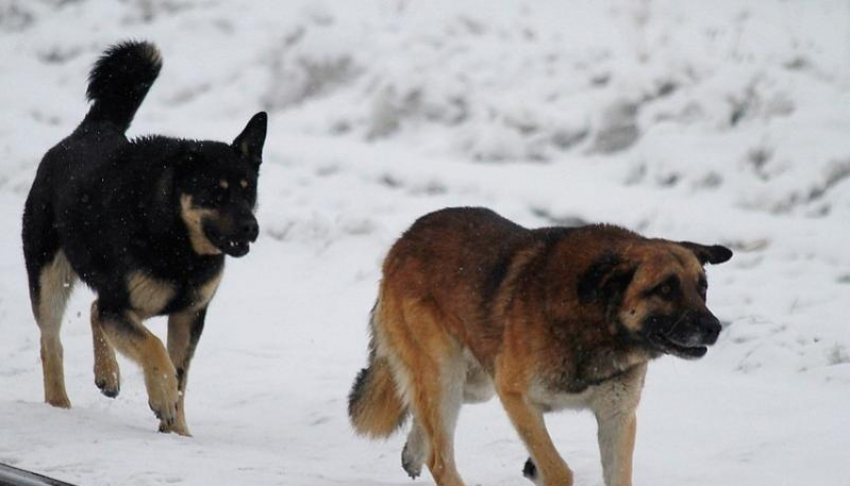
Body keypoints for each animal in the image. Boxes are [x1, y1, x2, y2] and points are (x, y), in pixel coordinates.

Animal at [23, 40, 266, 436]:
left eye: (249, 191)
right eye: (215, 193)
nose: (252, 228)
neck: (179, 243)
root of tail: (91, 129)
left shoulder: (188, 314)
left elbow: (181, 373)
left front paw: (177, 431)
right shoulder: (122, 304)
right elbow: (154, 349)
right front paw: (162, 398)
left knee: (94, 309)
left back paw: (107, 375)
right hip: (49, 276)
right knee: (51, 341)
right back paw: (58, 403)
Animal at [348, 208, 732, 486]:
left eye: (702, 288)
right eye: (665, 289)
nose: (714, 329)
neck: (596, 321)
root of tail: (403, 241)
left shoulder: (616, 416)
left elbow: (617, 476)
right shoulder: (516, 397)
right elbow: (558, 469)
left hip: (474, 382)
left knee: (422, 414)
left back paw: (413, 450)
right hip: (447, 374)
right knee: (440, 459)